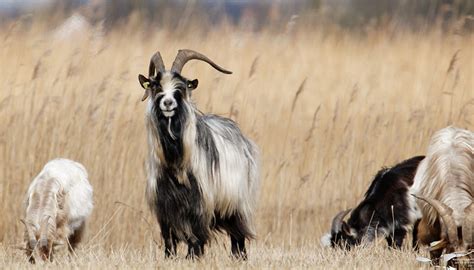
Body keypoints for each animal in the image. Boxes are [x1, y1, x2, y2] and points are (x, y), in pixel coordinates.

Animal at [137, 49, 260, 258]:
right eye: (155, 86)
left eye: (180, 87)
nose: (167, 102)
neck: (176, 163)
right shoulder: (164, 204)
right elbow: (168, 236)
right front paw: (169, 258)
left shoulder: (200, 201)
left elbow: (196, 233)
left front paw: (193, 257)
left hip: (235, 202)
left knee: (238, 233)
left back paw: (239, 257)